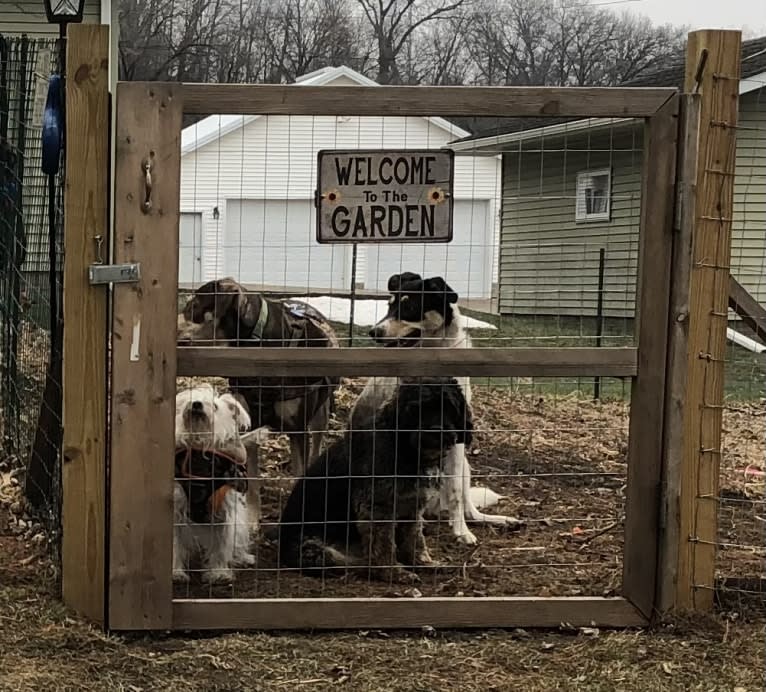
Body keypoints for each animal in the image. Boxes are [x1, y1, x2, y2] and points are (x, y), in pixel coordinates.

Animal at [276, 378, 474, 584]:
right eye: (418, 408)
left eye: (450, 408)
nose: (437, 432)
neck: (404, 448)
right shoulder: (377, 508)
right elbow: (383, 545)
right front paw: (394, 572)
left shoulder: (412, 506)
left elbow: (414, 538)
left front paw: (421, 562)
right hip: (315, 549)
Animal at [352, 272, 520, 548]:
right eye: (389, 306)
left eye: (409, 307)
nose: (374, 332)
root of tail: (434, 509)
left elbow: (456, 494)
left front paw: (462, 533)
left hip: (464, 466)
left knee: (468, 508)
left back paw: (494, 520)